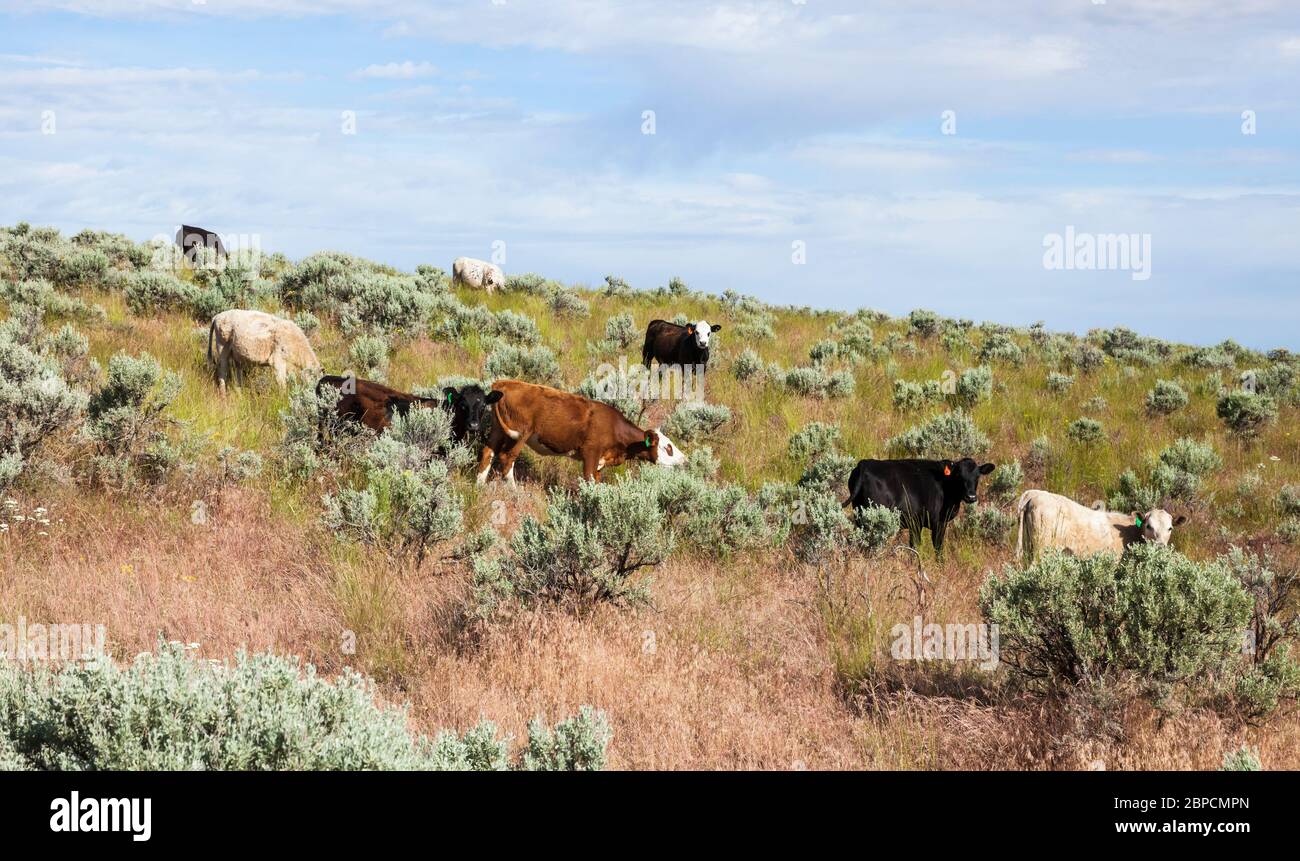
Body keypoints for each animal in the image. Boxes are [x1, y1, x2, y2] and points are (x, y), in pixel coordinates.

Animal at [473, 379, 686, 486]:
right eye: (668, 447)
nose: (685, 460)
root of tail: (504, 383)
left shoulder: (600, 461)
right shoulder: (590, 454)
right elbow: (589, 481)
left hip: (498, 430)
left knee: (488, 453)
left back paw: (479, 485)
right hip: (521, 434)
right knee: (508, 458)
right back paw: (513, 490)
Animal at [842, 457, 993, 559]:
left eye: (977, 476)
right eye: (958, 475)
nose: (971, 496)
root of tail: (865, 464)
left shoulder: (916, 524)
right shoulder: (935, 522)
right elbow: (935, 546)